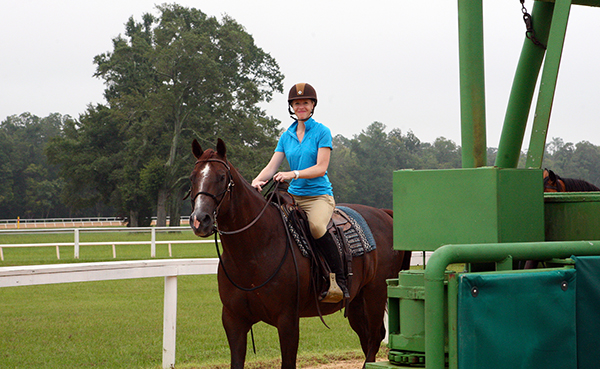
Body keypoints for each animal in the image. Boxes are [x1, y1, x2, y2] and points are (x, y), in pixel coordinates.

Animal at [189, 139, 412, 368]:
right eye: (193, 177)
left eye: (221, 177)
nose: (200, 220)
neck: (255, 252)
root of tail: (384, 213)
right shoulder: (234, 321)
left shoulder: (287, 320)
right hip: (357, 303)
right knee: (367, 340)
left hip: (375, 295)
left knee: (375, 338)